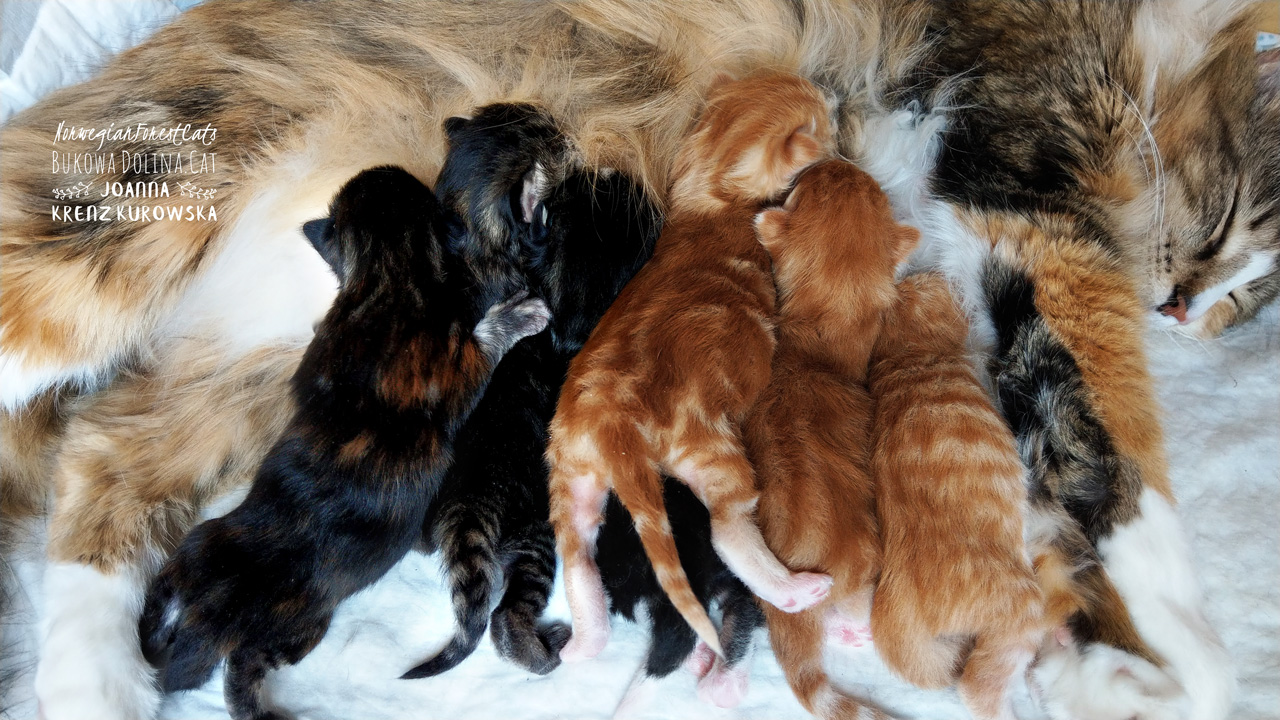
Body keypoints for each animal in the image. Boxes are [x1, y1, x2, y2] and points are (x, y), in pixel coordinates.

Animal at [137, 166, 550, 720]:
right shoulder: (454, 363)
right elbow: (485, 339)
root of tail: (204, 611)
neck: (390, 273)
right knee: (242, 668)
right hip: (298, 628)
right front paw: (520, 314)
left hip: (196, 544)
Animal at [545, 71, 836, 663]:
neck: (710, 188)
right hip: (708, 445)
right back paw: (794, 589)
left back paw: (586, 641)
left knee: (577, 551)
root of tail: (611, 426)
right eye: (822, 116)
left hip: (569, 466)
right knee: (727, 527)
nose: (833, 94)